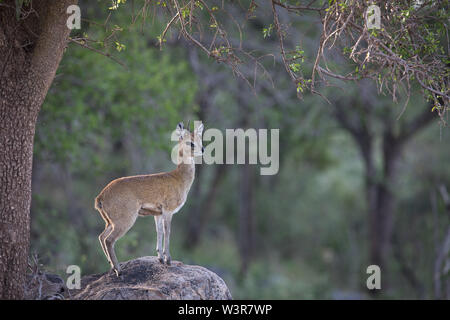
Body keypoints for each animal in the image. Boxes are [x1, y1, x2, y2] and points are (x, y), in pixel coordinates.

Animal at [96, 121, 206, 276]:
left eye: (200, 139)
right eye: (190, 142)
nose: (203, 149)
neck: (179, 178)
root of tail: (100, 197)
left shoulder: (157, 214)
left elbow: (158, 231)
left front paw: (160, 258)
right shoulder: (168, 211)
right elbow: (167, 231)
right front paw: (168, 260)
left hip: (110, 222)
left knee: (101, 236)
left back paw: (112, 267)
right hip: (124, 220)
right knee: (109, 240)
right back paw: (118, 269)